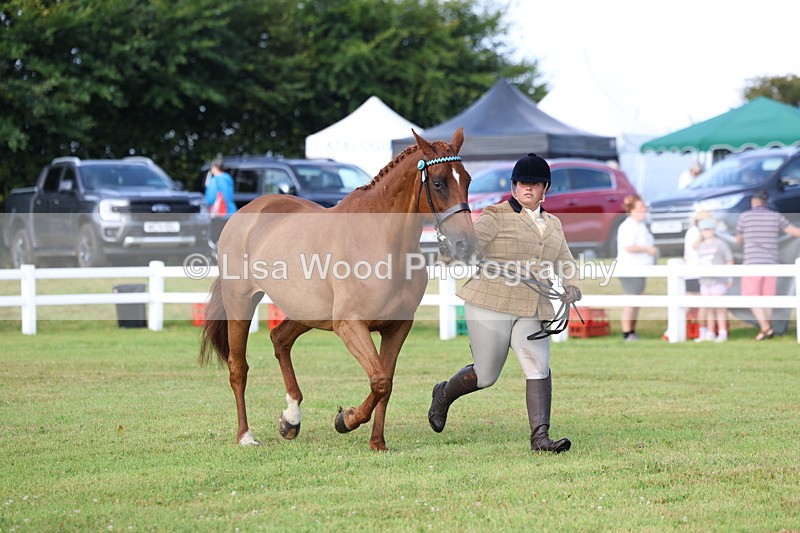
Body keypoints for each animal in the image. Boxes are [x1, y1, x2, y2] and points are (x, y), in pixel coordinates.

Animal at [199, 128, 478, 451]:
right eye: (438, 182)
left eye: (467, 179)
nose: (465, 244)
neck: (382, 242)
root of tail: (247, 212)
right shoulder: (349, 325)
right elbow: (379, 380)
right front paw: (346, 419)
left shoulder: (397, 327)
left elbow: (386, 384)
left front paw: (377, 443)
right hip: (241, 303)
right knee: (238, 368)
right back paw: (245, 435)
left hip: (308, 312)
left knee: (280, 339)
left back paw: (290, 419)